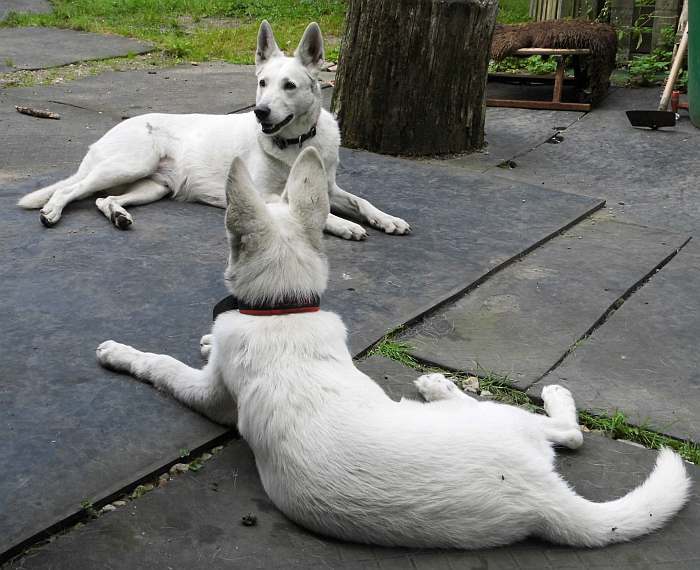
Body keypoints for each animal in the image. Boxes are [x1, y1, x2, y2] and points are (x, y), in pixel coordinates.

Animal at [95, 149, 692, 548]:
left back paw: (443, 384)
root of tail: (544, 499)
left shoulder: (213, 396)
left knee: (563, 428)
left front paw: (122, 353)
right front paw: (202, 337)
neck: (284, 307)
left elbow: (164, 367)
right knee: (569, 438)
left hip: (493, 417)